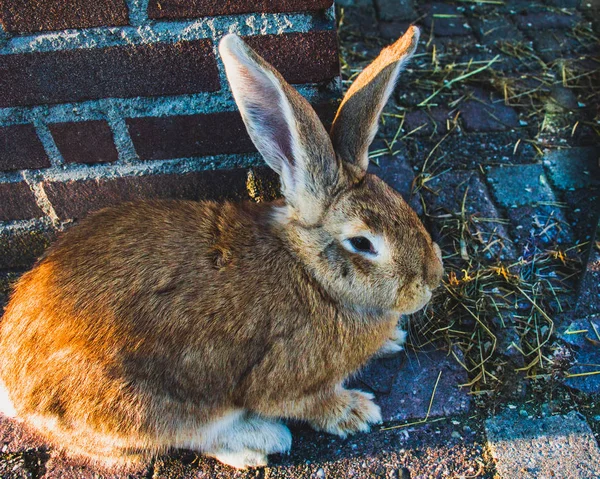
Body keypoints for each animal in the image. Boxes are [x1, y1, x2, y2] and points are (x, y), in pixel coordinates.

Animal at [0, 24, 440, 470]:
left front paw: (392, 339)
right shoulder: (285, 381)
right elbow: (308, 404)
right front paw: (357, 412)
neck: (312, 275)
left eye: (399, 203)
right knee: (187, 436)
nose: (430, 283)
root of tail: (12, 385)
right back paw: (259, 441)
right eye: (362, 243)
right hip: (148, 408)